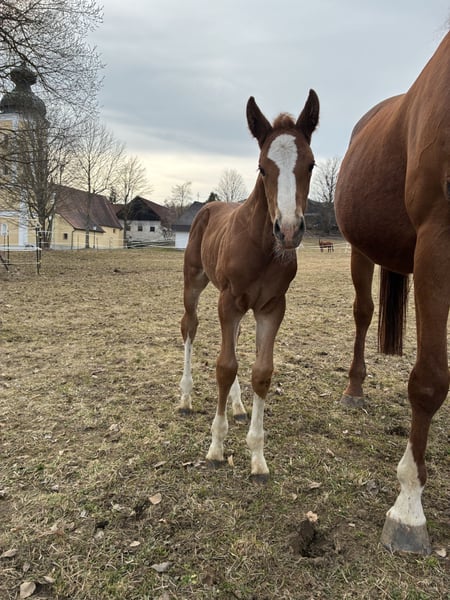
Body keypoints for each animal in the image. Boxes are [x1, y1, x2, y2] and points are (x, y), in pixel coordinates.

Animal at [179, 90, 319, 481]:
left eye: (311, 165)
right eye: (262, 167)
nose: (288, 230)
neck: (261, 248)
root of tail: (208, 207)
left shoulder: (271, 307)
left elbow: (260, 371)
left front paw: (257, 457)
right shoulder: (229, 300)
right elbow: (225, 367)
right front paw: (216, 448)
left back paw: (239, 407)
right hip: (194, 282)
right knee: (189, 327)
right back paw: (185, 398)